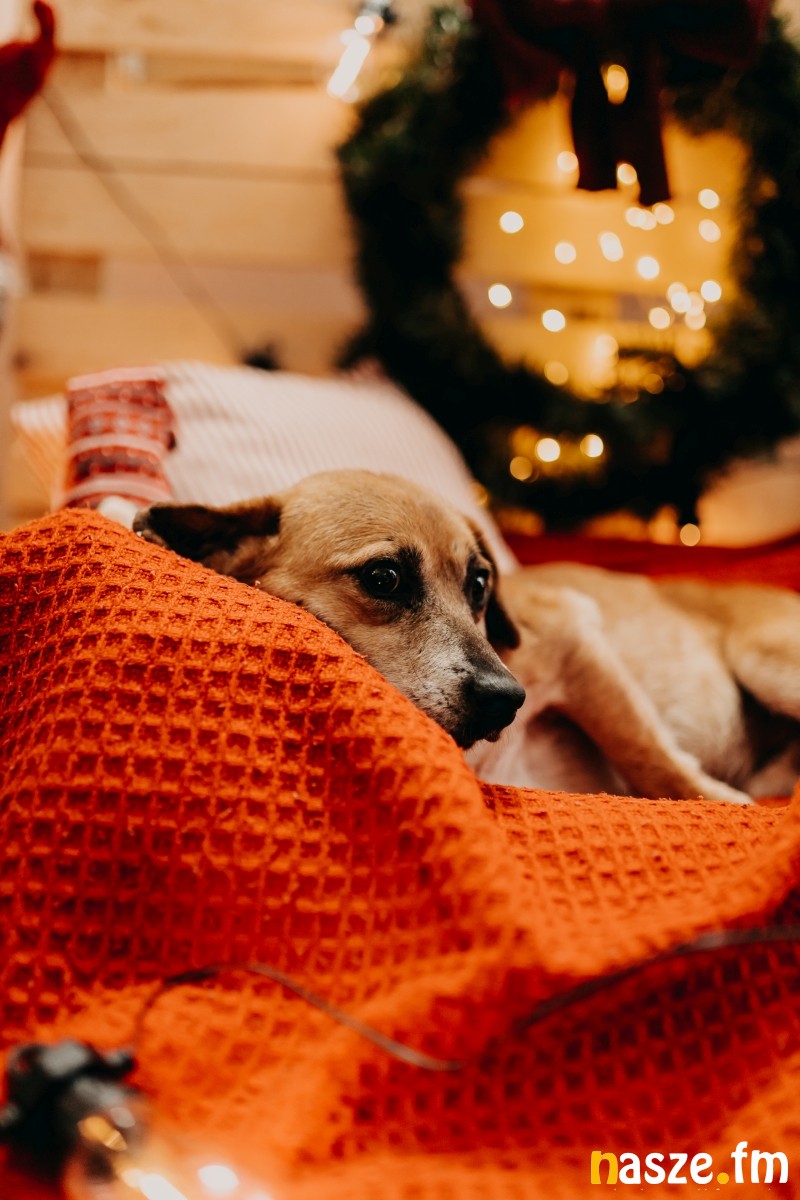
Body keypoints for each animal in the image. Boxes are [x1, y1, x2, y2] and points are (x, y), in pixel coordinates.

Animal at [134, 469, 800, 805]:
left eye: (480, 583)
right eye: (385, 577)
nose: (508, 699)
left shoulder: (576, 639)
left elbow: (651, 757)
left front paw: (722, 803)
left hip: (765, 661)